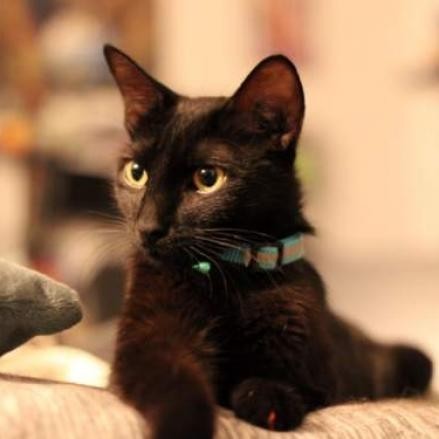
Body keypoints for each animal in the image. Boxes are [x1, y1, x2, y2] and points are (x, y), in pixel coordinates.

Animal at [104, 45, 434, 439]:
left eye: (208, 178)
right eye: (136, 173)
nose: (148, 228)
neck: (227, 277)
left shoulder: (315, 373)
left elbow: (277, 382)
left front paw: (269, 402)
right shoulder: (148, 342)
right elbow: (176, 386)